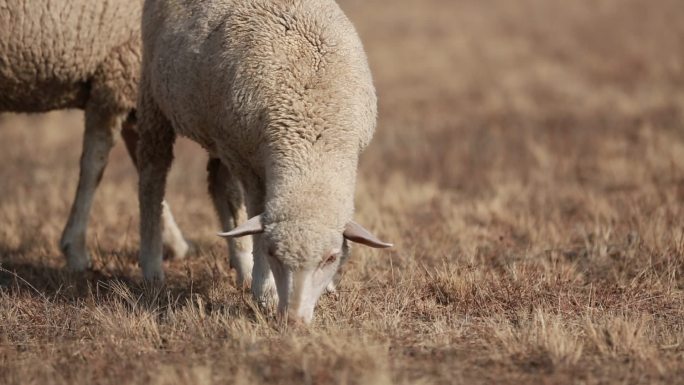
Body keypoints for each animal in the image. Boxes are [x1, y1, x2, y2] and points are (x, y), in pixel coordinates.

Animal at [136, 0, 390, 322]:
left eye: (331, 258)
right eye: (273, 253)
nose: (293, 320)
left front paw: (328, 286)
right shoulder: (248, 165)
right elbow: (256, 216)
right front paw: (264, 290)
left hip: (220, 133)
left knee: (219, 186)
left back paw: (240, 266)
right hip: (154, 95)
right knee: (152, 176)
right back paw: (152, 267)